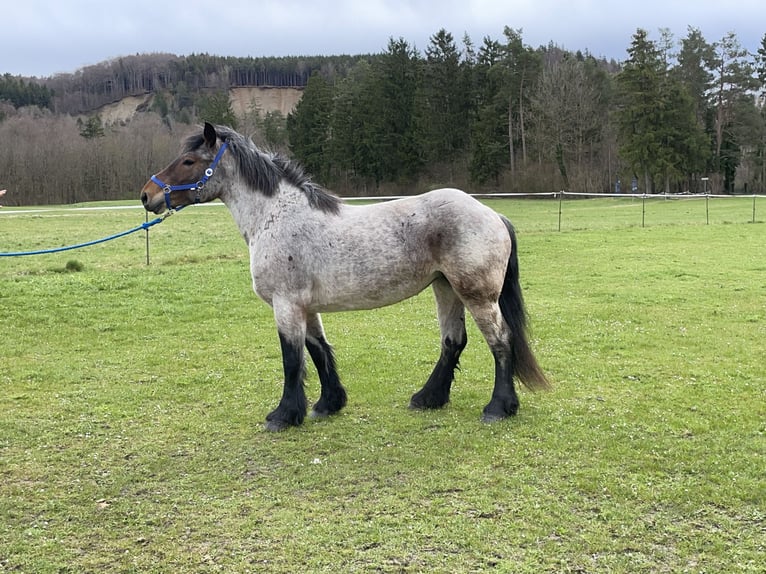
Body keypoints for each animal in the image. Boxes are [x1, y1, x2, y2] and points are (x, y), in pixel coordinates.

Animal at [142, 124, 552, 434]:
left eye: (189, 161)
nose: (147, 195)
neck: (276, 217)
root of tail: (493, 214)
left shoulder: (286, 305)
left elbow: (291, 359)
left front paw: (283, 415)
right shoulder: (305, 307)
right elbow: (318, 351)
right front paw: (328, 404)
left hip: (477, 294)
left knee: (500, 341)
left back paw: (498, 407)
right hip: (445, 287)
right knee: (454, 341)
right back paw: (427, 399)